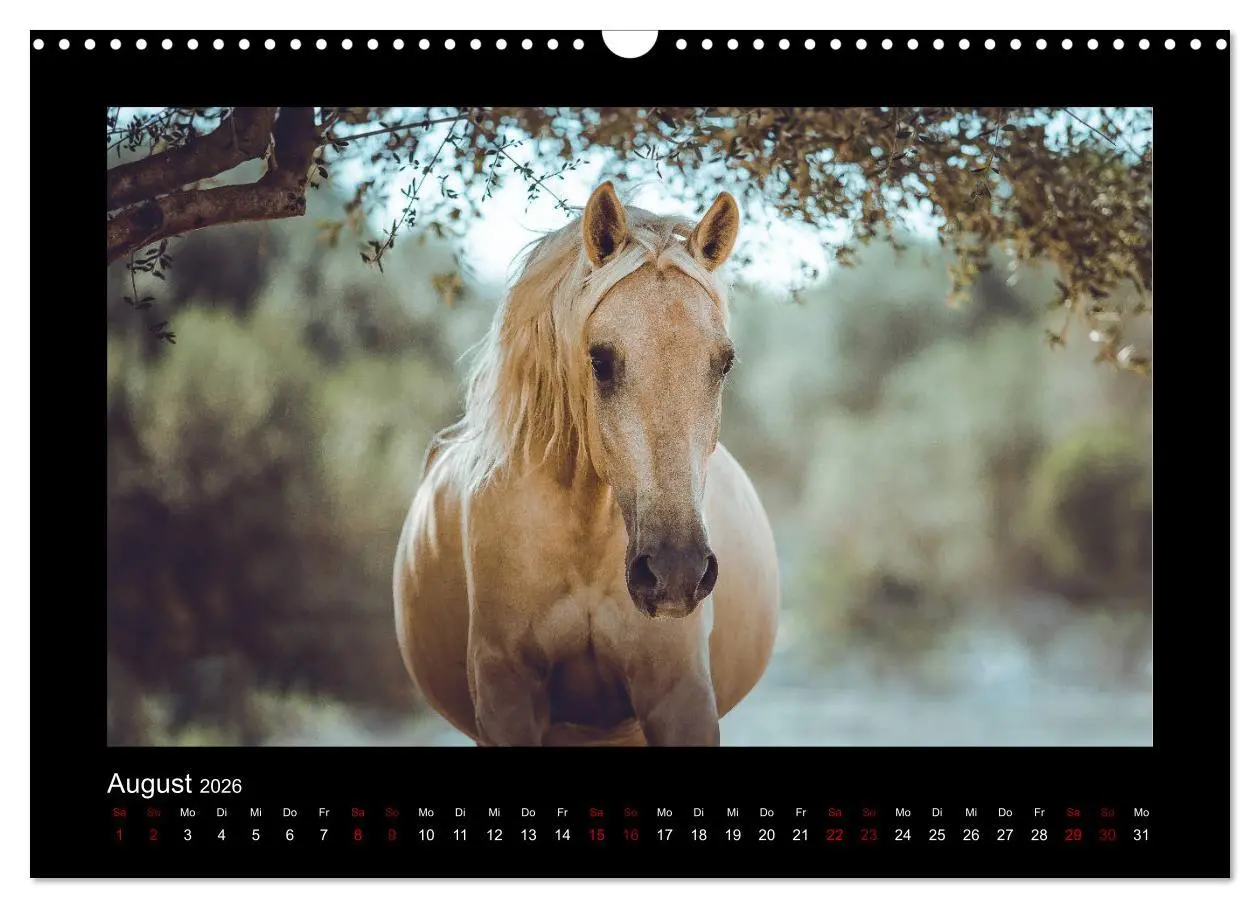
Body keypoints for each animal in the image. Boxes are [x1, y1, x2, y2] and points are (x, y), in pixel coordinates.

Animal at [393, 181, 780, 746]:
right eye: (599, 359)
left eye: (725, 362)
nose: (676, 571)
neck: (585, 543)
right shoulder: (506, 698)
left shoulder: (679, 697)